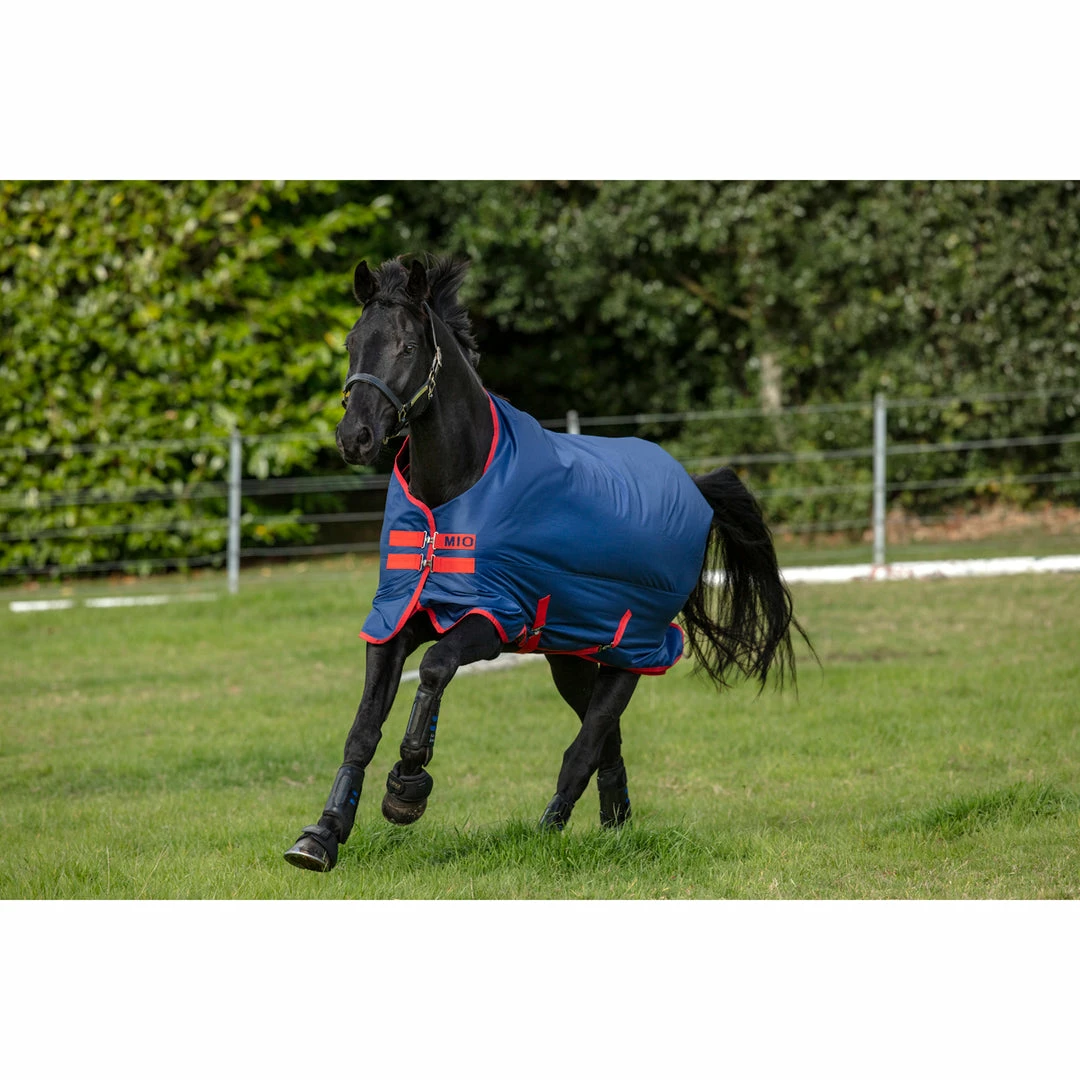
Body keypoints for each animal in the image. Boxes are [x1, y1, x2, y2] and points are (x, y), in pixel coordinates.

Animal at [284, 255, 808, 872]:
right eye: (351, 343)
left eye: (408, 346)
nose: (355, 437)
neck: (454, 493)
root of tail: (695, 489)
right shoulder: (396, 617)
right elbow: (363, 728)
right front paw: (322, 835)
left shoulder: (493, 619)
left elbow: (435, 668)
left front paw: (406, 791)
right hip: (571, 654)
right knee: (606, 737)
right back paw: (615, 823)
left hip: (634, 649)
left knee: (587, 742)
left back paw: (550, 828)